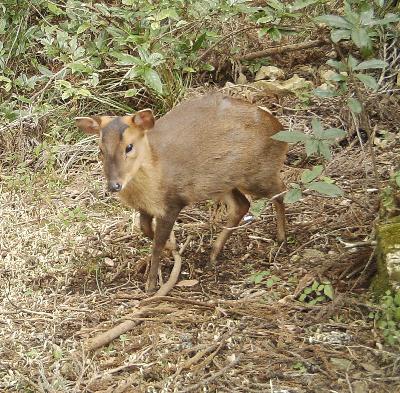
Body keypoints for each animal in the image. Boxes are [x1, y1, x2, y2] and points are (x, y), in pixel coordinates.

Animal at [75, 92, 288, 290]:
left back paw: (281, 237)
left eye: (129, 147)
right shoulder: (146, 208)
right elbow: (145, 229)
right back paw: (213, 254)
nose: (114, 185)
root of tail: (280, 130)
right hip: (221, 182)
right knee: (242, 205)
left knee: (281, 190)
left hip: (257, 174)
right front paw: (172, 248)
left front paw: (151, 284)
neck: (156, 171)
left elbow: (157, 245)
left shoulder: (173, 203)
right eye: (101, 150)